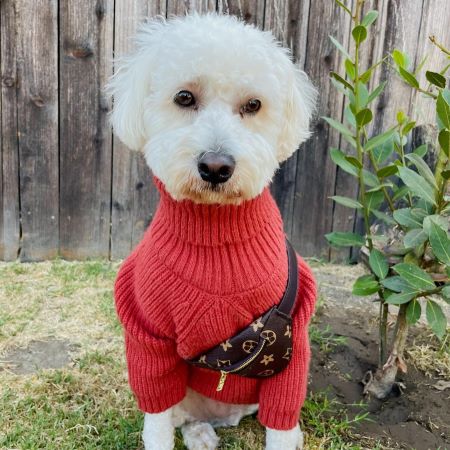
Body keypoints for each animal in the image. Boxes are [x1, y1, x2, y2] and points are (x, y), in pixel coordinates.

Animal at [108, 12, 316, 450]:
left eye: (253, 105)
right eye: (184, 98)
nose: (216, 167)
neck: (216, 237)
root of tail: (225, 415)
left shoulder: (293, 336)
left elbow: (281, 420)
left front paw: (286, 434)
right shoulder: (146, 335)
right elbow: (156, 421)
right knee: (181, 416)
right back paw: (201, 433)